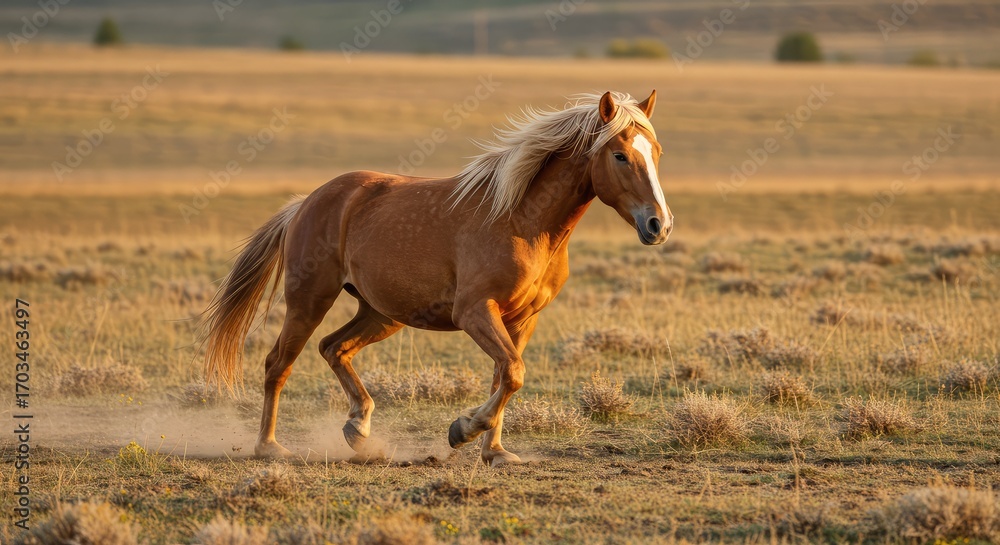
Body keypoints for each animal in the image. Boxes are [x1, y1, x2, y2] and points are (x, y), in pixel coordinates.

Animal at [202, 90, 672, 466]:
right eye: (619, 155)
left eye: (657, 153)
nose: (659, 225)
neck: (522, 220)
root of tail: (306, 202)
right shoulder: (474, 311)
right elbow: (513, 372)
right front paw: (463, 429)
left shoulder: (523, 319)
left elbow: (506, 374)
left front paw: (495, 452)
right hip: (310, 299)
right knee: (278, 363)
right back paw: (270, 447)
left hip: (382, 314)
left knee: (333, 348)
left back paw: (359, 429)